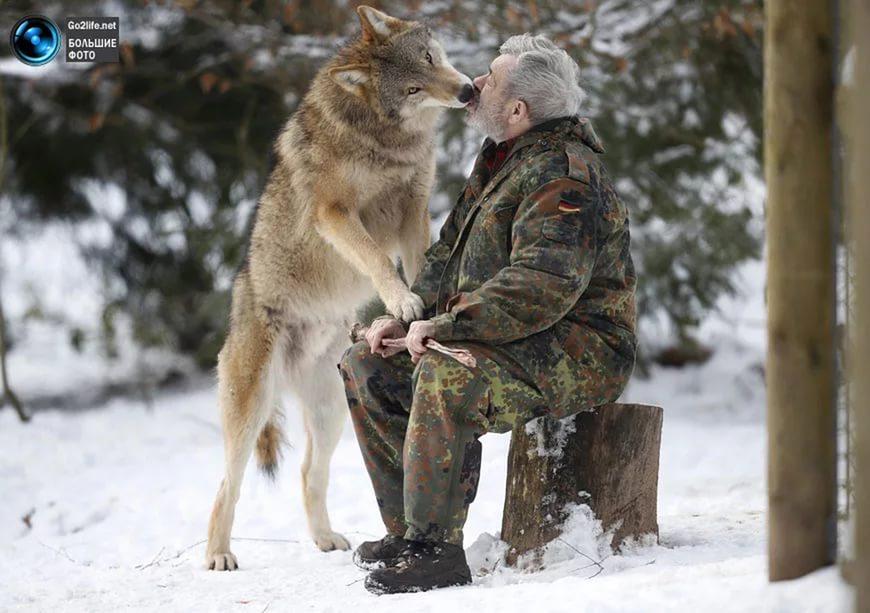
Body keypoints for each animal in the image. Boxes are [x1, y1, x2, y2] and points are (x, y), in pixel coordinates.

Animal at [204, 5, 474, 568]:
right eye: (413, 88)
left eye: (431, 58)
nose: (465, 92)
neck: (384, 140)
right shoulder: (336, 213)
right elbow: (376, 259)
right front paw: (401, 299)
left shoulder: (414, 207)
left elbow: (419, 260)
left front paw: (420, 309)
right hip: (251, 409)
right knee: (227, 485)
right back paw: (218, 556)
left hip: (331, 412)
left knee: (310, 472)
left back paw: (326, 539)